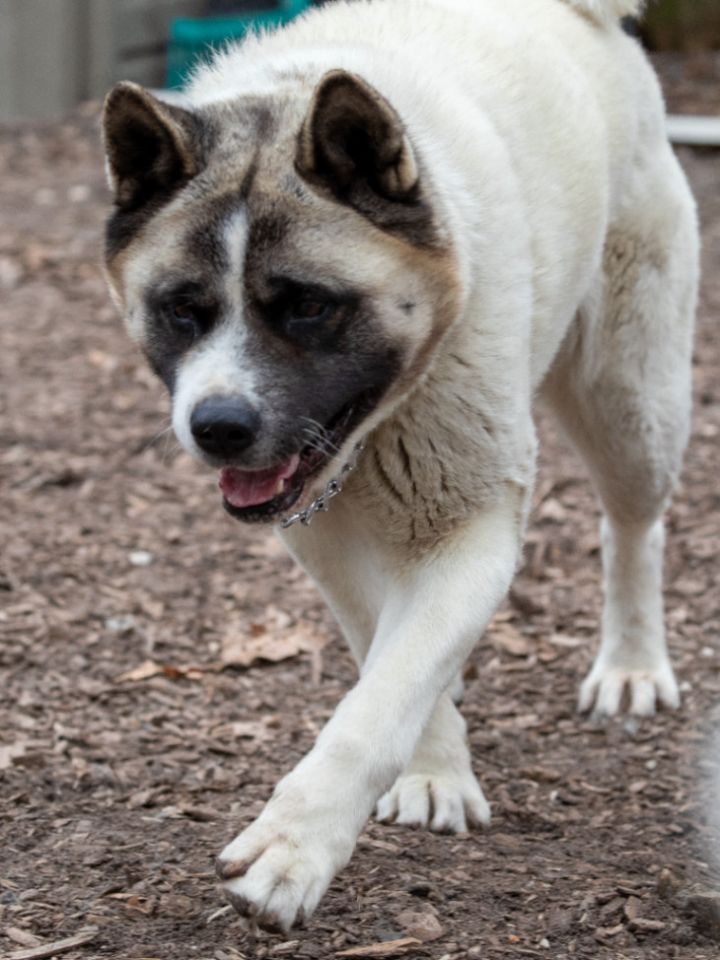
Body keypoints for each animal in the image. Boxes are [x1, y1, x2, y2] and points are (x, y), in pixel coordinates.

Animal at [100, 0, 696, 932]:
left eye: (306, 307)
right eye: (183, 310)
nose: (218, 426)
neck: (378, 428)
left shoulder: (475, 529)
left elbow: (379, 699)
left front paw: (295, 847)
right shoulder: (327, 543)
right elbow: (392, 663)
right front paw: (434, 770)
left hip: (629, 403)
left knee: (635, 529)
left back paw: (632, 665)